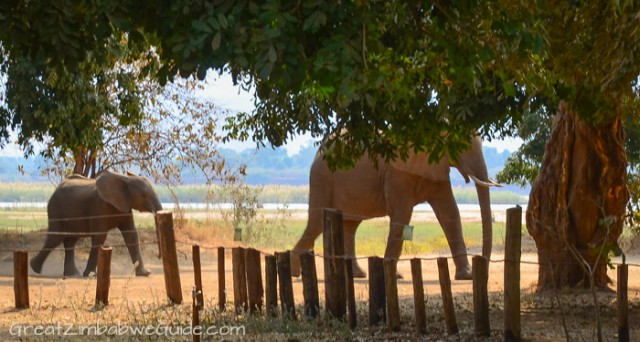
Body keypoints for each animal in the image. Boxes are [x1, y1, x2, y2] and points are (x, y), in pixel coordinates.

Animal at [30, 170, 162, 278]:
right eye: (143, 195)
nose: (158, 256)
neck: (124, 179)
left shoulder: (125, 206)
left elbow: (131, 235)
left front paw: (145, 273)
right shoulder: (99, 206)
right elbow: (100, 236)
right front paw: (90, 275)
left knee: (70, 240)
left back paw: (72, 274)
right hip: (55, 209)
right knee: (55, 238)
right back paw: (34, 268)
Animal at [292, 135, 500, 280]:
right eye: (461, 145)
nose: (485, 270)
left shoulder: (436, 169)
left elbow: (450, 213)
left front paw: (467, 276)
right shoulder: (397, 173)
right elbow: (402, 214)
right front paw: (393, 275)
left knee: (350, 225)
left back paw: (358, 275)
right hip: (322, 179)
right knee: (316, 223)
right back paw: (295, 272)